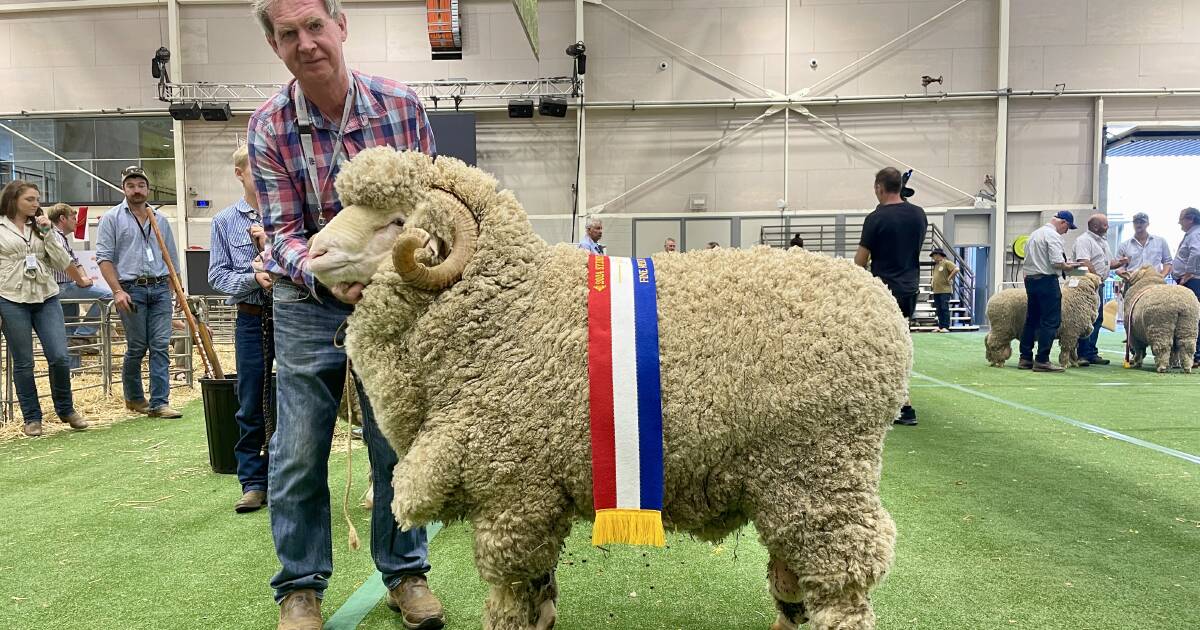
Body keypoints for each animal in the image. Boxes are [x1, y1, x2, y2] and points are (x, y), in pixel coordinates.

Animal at [302, 148, 907, 628]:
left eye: (396, 220)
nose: (311, 253)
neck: (507, 313)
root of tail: (885, 307)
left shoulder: (513, 491)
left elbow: (509, 598)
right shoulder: (536, 496)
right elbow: (541, 592)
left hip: (821, 472)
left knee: (841, 589)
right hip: (788, 482)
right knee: (792, 577)